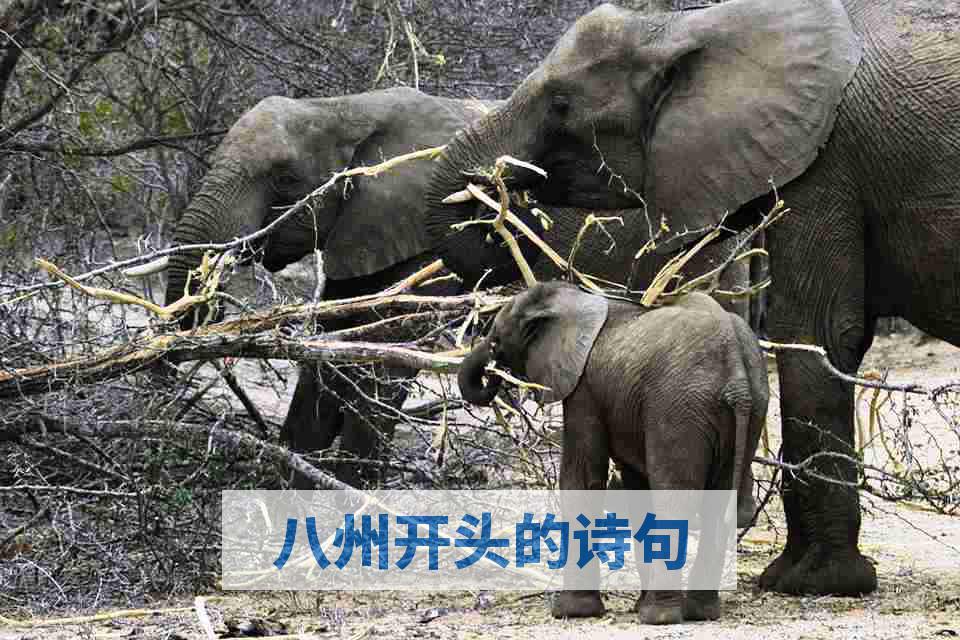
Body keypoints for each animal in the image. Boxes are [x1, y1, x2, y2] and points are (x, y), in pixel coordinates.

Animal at [457, 282, 768, 623]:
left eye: (496, 341)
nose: (492, 373)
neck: (577, 299)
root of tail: (735, 367)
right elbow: (636, 492)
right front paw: (634, 604)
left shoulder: (584, 389)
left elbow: (581, 480)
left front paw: (571, 612)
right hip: (752, 407)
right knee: (716, 507)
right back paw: (699, 613)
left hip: (679, 408)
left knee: (675, 500)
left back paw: (658, 617)